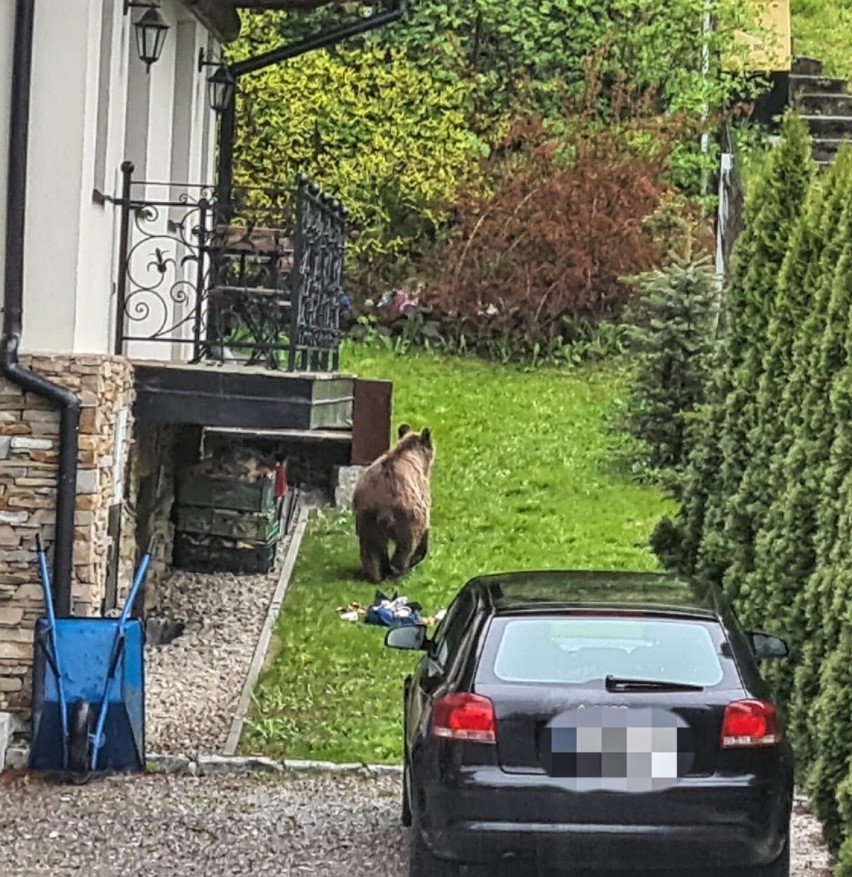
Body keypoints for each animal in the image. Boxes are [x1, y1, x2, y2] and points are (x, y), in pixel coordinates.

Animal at [352, 422, 436, 580]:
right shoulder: (421, 493)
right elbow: (424, 526)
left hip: (367, 517)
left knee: (371, 549)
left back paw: (376, 574)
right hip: (406, 516)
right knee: (406, 545)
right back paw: (400, 569)